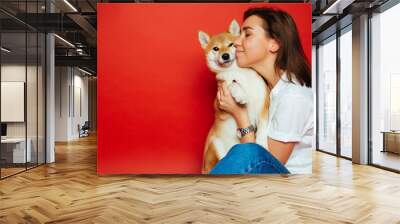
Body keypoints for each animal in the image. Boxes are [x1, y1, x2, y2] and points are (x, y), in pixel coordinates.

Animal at [198, 19, 270, 173]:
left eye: (231, 45)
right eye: (216, 49)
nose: (225, 55)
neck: (237, 72)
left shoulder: (264, 105)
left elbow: (262, 129)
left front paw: (262, 144)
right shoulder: (219, 101)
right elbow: (232, 84)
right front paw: (240, 93)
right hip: (216, 147)